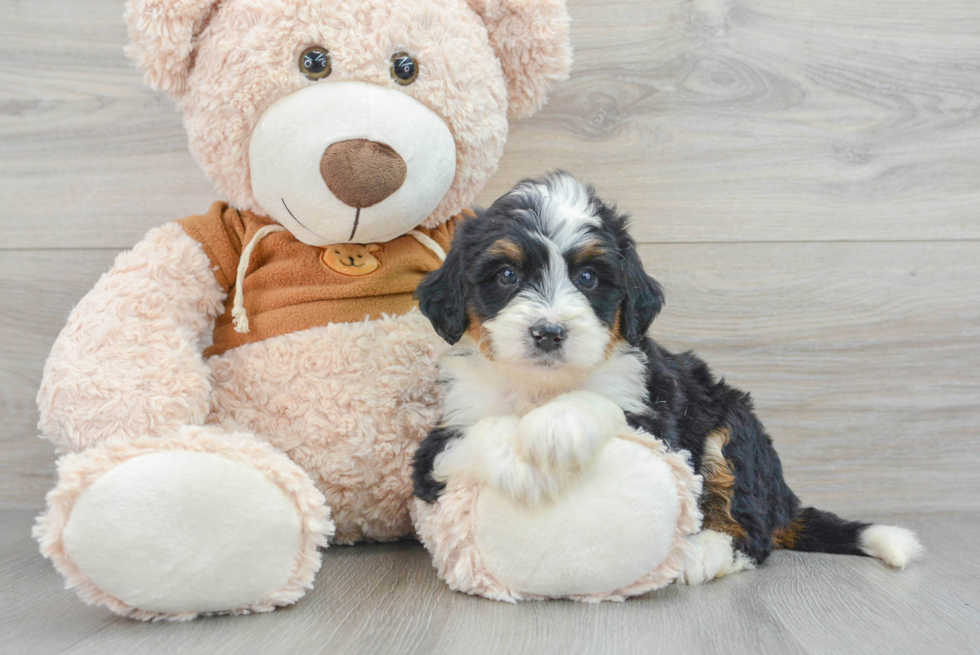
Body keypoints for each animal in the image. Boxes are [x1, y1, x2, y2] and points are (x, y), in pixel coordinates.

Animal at [408, 172, 928, 596]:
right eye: (507, 274)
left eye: (589, 277)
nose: (549, 332)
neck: (542, 387)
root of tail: (785, 501)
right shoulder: (441, 438)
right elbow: (474, 436)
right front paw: (520, 463)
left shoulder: (653, 415)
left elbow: (601, 404)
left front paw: (557, 429)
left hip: (733, 428)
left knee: (752, 533)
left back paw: (703, 553)